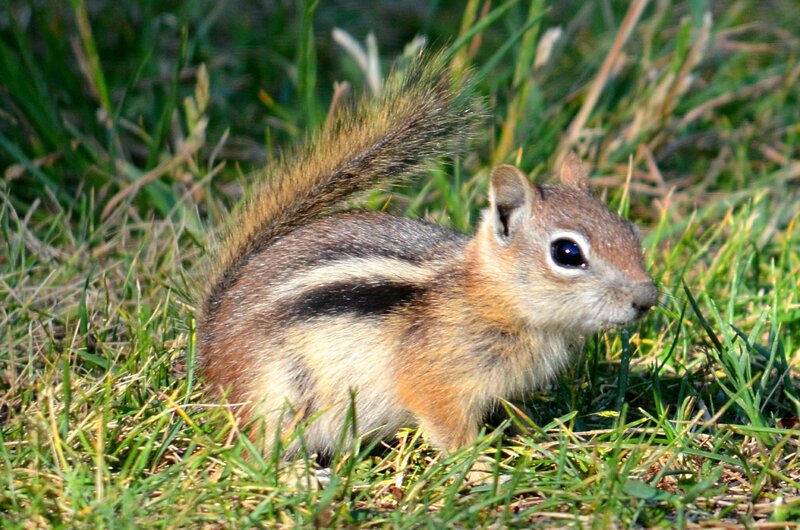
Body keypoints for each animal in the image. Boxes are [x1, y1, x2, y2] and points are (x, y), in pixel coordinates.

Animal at [196, 52, 658, 458]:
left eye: (630, 230)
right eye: (567, 252)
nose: (648, 299)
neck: (487, 296)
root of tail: (211, 348)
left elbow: (514, 411)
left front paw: (542, 439)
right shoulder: (435, 380)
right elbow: (448, 429)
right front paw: (481, 466)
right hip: (278, 396)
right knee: (251, 449)